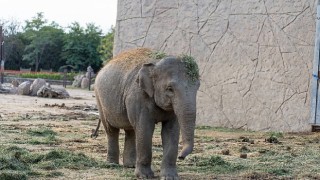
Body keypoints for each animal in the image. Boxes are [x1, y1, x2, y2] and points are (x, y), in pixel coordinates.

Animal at [94, 47, 200, 179]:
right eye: (170, 89)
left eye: (198, 86)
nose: (181, 157)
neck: (156, 62)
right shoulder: (139, 96)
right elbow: (145, 128)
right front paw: (145, 176)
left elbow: (171, 131)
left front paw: (170, 177)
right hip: (100, 100)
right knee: (111, 130)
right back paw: (112, 164)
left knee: (131, 131)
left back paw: (130, 165)